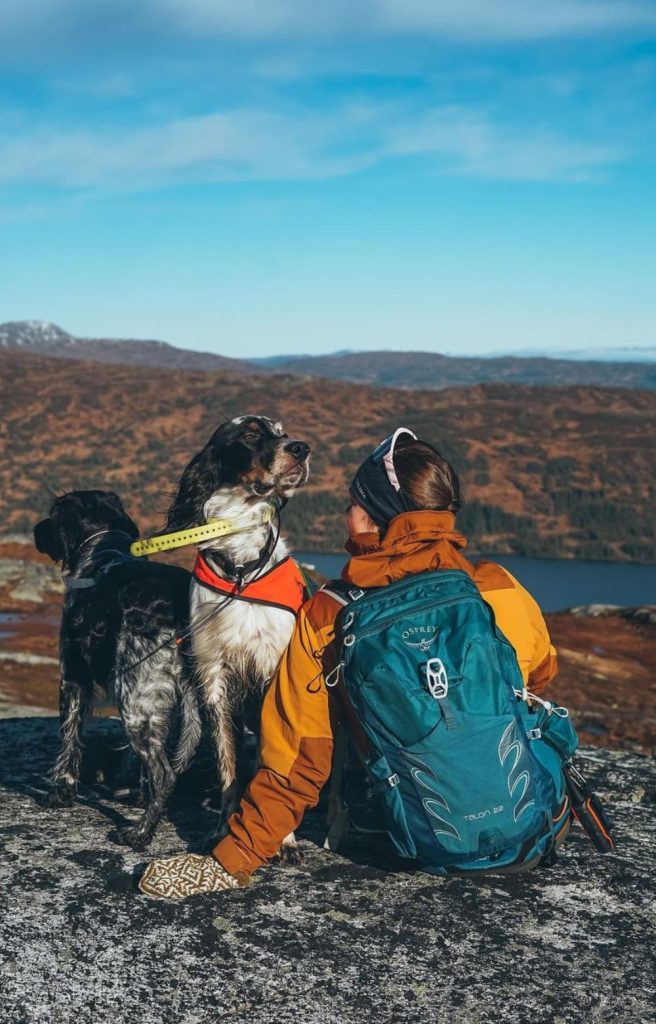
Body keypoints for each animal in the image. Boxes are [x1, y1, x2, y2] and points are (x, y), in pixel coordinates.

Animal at [33, 487, 200, 847]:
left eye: (53, 516)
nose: (36, 530)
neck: (103, 553)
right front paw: (137, 795)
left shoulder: (72, 677)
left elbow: (69, 738)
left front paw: (60, 792)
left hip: (134, 702)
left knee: (165, 775)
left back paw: (140, 833)